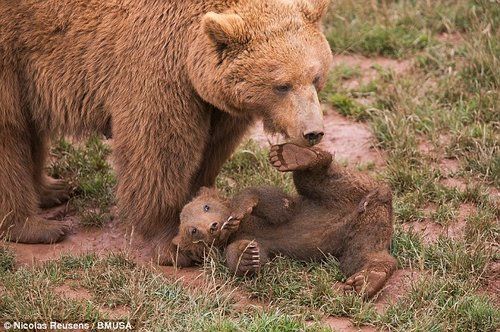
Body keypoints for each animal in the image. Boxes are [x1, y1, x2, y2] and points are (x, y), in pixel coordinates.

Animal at [1, 0, 334, 262]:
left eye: (316, 76)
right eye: (282, 85)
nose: (313, 132)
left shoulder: (216, 104)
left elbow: (211, 148)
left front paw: (201, 203)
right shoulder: (157, 64)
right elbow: (158, 152)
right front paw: (174, 242)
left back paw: (53, 189)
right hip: (13, 49)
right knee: (10, 134)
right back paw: (37, 227)